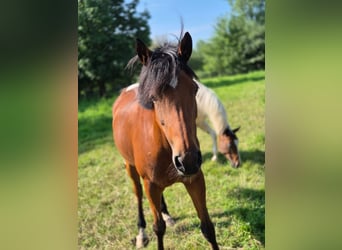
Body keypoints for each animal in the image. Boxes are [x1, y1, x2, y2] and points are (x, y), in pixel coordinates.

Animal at [112, 32, 219, 250]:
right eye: (153, 96)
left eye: (194, 89)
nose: (187, 161)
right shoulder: (150, 185)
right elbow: (158, 229)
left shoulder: (195, 179)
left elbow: (207, 227)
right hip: (130, 167)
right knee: (138, 195)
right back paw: (141, 233)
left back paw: (167, 215)